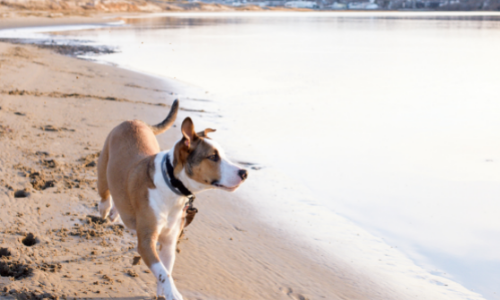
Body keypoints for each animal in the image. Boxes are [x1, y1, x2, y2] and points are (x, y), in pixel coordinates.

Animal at [96, 101, 248, 300]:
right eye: (213, 157)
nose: (244, 173)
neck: (172, 186)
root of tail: (134, 121)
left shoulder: (169, 242)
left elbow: (165, 270)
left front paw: (164, 293)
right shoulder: (146, 242)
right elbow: (163, 272)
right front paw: (173, 292)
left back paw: (115, 212)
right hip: (103, 168)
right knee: (105, 193)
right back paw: (106, 209)